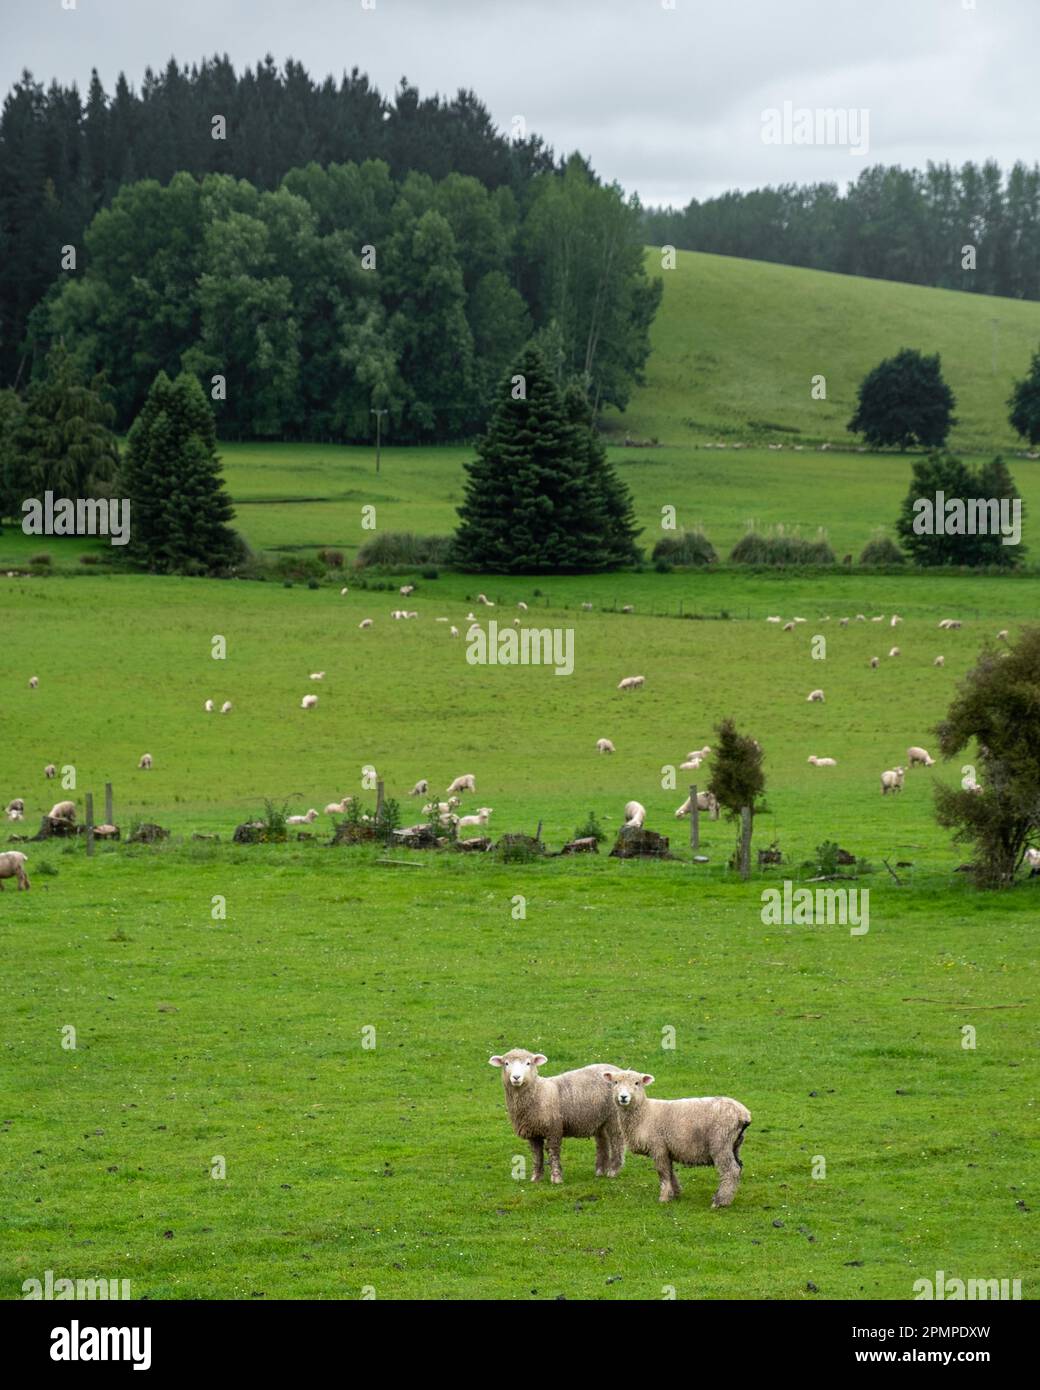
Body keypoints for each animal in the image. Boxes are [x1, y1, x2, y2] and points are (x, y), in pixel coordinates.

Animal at [489, 1050, 625, 1184]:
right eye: (506, 1063)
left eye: (528, 1063)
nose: (516, 1077)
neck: (538, 1092)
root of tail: (618, 1071)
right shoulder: (533, 1132)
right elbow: (536, 1155)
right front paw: (536, 1177)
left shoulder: (553, 1129)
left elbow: (553, 1152)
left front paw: (556, 1178)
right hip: (600, 1120)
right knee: (602, 1143)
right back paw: (600, 1170)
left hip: (615, 1117)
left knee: (617, 1143)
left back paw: (613, 1171)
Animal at [600, 1073, 756, 1206]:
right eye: (615, 1082)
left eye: (637, 1083)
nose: (623, 1097)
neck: (644, 1113)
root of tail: (743, 1114)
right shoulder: (667, 1149)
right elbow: (670, 1172)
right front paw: (675, 1193)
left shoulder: (658, 1146)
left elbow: (663, 1173)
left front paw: (664, 1197)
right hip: (735, 1144)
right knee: (738, 1167)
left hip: (720, 1141)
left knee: (731, 1170)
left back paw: (720, 1202)